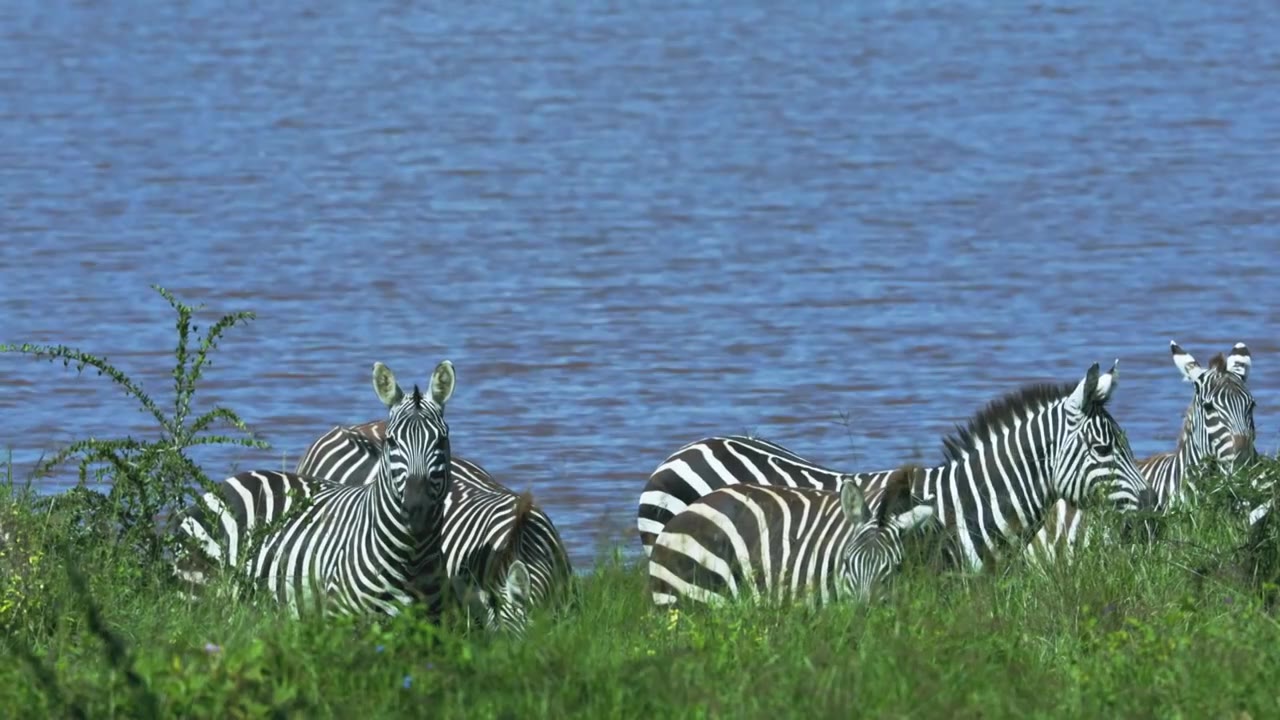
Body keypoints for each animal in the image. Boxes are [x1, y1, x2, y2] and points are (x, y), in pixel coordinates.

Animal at [172, 358, 458, 617]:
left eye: (442, 440)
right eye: (391, 441)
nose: (417, 507)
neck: (412, 557)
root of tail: (228, 482)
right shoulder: (341, 618)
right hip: (197, 594)